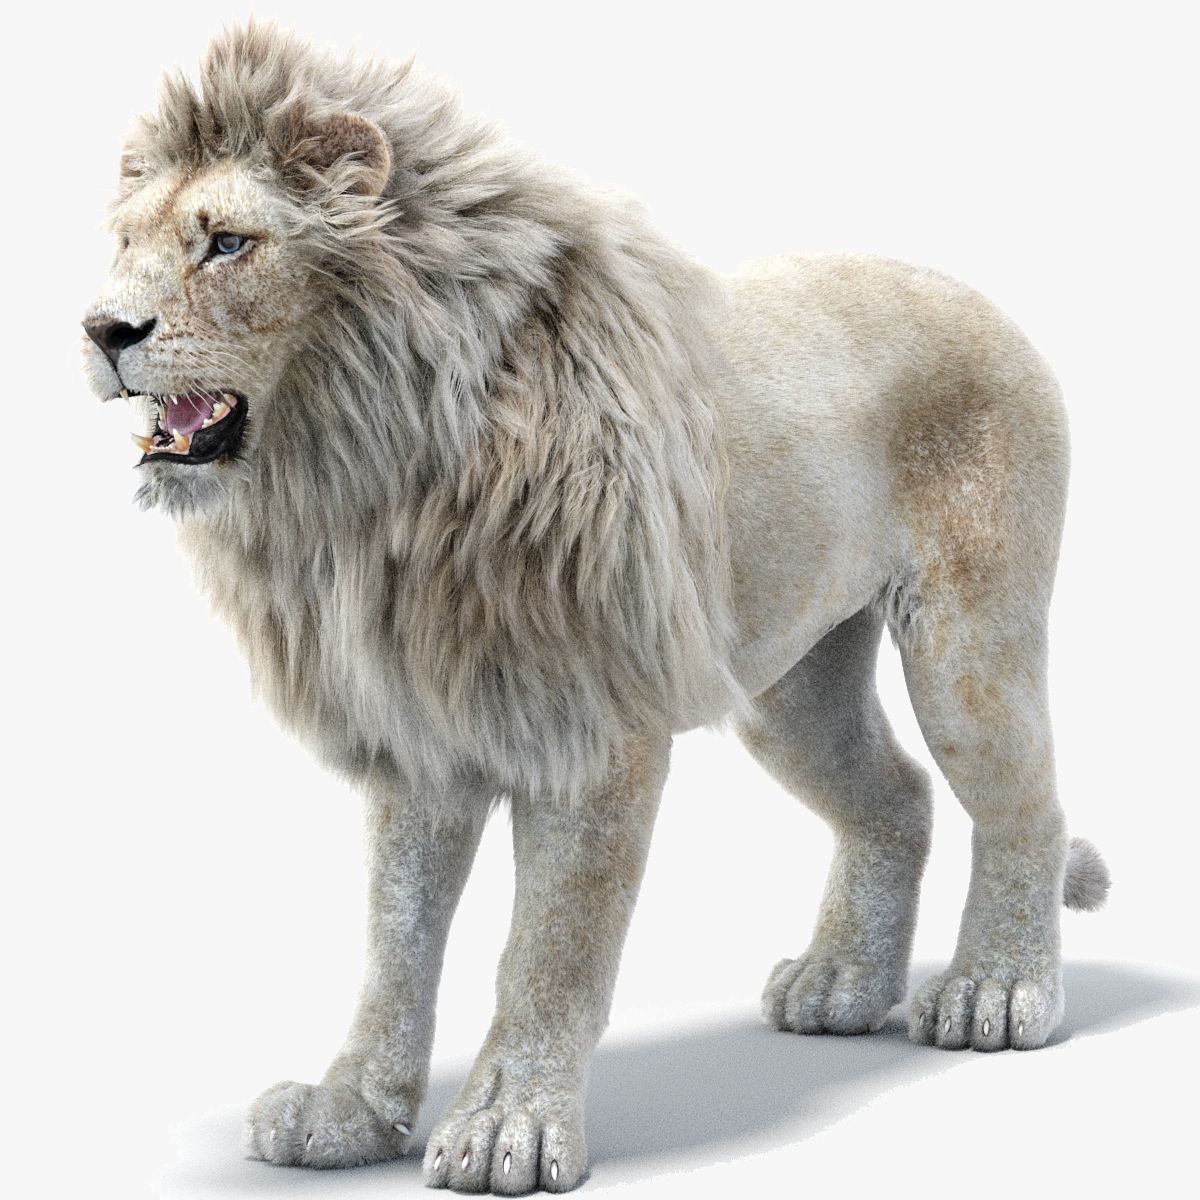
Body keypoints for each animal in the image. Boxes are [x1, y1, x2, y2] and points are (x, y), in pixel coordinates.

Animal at [82, 21, 1109, 1195]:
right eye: (127, 241)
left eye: (227, 243)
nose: (101, 329)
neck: (375, 475)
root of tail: (984, 301)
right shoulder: (420, 732)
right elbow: (396, 942)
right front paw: (348, 1111)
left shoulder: (592, 730)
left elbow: (552, 947)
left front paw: (509, 1128)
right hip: (790, 688)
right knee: (896, 794)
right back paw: (842, 983)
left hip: (965, 644)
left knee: (1024, 802)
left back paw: (999, 992)